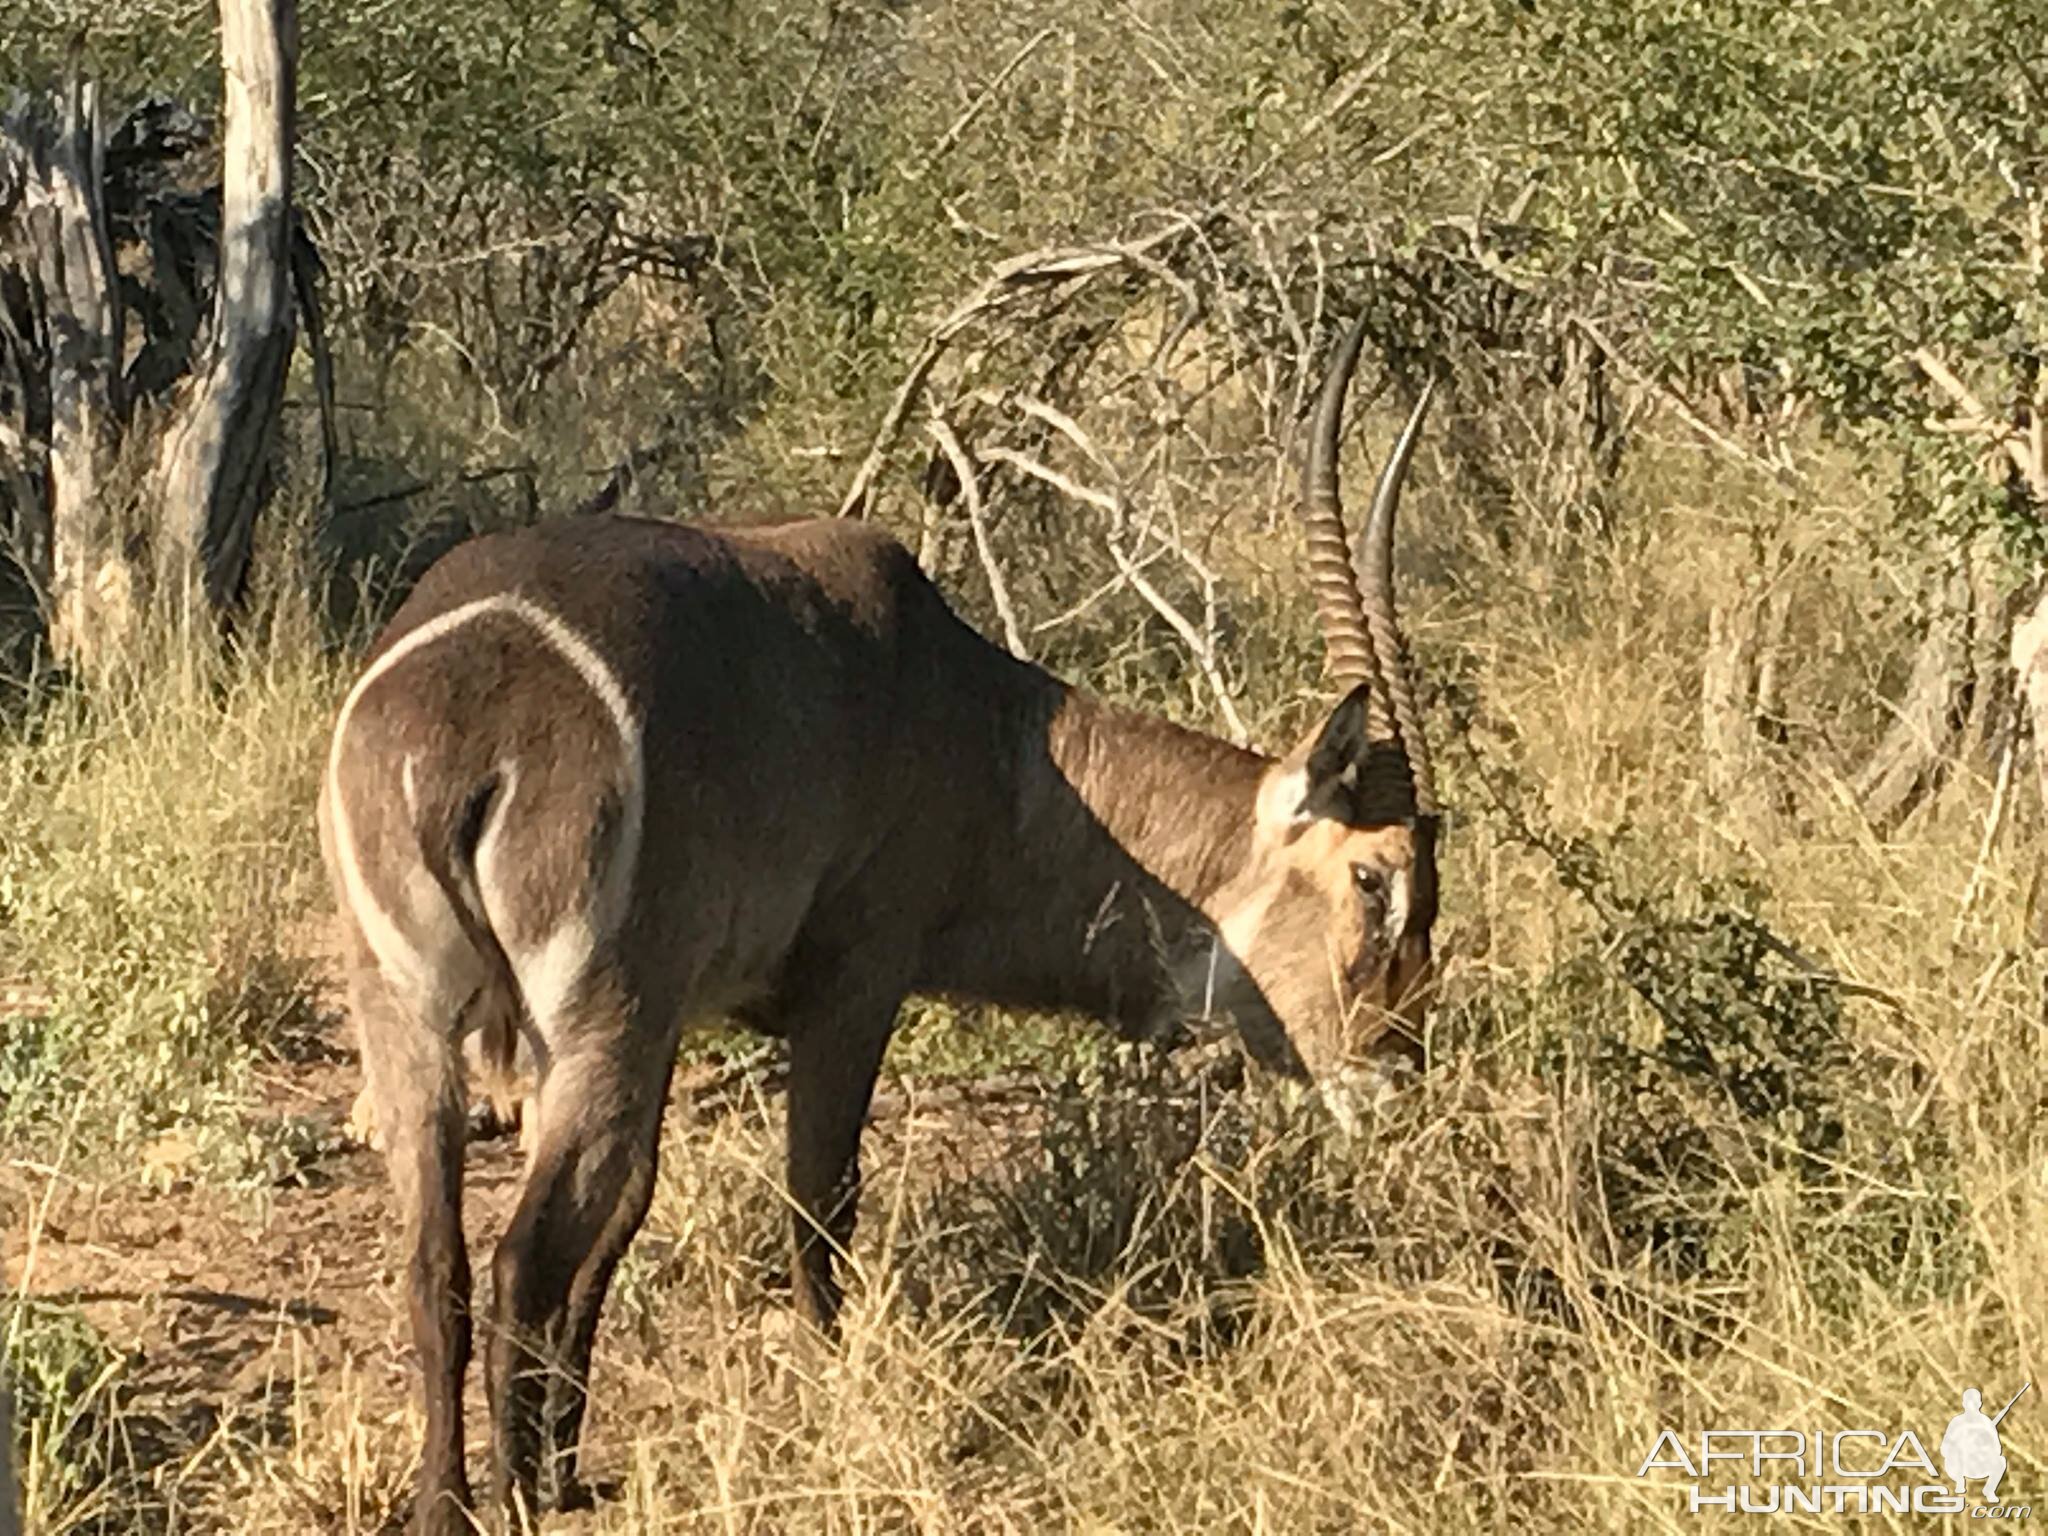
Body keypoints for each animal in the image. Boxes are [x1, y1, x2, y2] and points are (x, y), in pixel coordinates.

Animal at [319, 319, 1441, 1531]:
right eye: (1375, 880)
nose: (1397, 1076)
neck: (986, 731)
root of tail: (465, 710)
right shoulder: (850, 992)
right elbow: (820, 1198)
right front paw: (828, 1384)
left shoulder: (667, 1032)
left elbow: (626, 1218)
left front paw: (575, 1463)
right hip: (591, 1027)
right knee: (519, 1258)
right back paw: (514, 1494)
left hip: (419, 1025)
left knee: (437, 1263)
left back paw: (456, 1499)